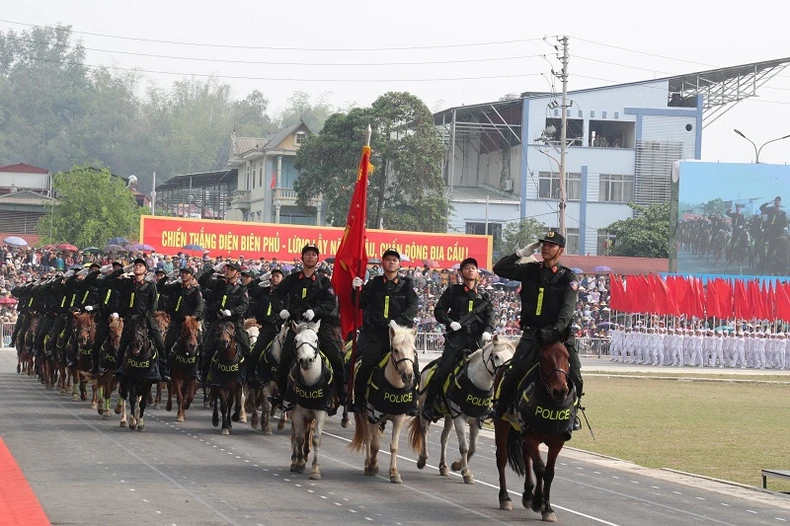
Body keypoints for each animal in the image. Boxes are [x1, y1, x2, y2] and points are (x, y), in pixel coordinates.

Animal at [290, 322, 330, 482]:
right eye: (296, 340)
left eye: (316, 340)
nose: (306, 361)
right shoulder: (297, 412)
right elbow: (299, 437)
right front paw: (299, 463)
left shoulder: (321, 411)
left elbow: (316, 439)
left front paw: (315, 470)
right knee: (296, 433)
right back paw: (295, 459)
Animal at [350, 326, 418, 486]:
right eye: (396, 350)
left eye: (414, 350)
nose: (408, 375)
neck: (394, 385)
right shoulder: (373, 416)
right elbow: (375, 445)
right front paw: (373, 465)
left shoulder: (399, 417)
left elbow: (394, 446)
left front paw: (394, 473)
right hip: (364, 415)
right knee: (368, 438)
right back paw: (368, 463)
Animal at [412, 338, 516, 486]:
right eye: (496, 356)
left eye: (512, 358)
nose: (505, 376)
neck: (475, 382)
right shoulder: (460, 418)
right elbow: (464, 447)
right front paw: (466, 473)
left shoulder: (477, 420)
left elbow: (473, 448)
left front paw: (457, 465)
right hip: (424, 409)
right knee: (424, 431)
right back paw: (422, 459)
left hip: (449, 416)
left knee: (444, 438)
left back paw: (443, 466)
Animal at [496, 342, 576, 524]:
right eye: (543, 358)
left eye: (567, 357)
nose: (560, 391)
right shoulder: (531, 436)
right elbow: (539, 468)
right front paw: (539, 502)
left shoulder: (557, 441)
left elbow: (549, 472)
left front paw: (547, 508)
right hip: (502, 425)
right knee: (502, 458)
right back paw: (505, 497)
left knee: (526, 455)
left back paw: (527, 494)